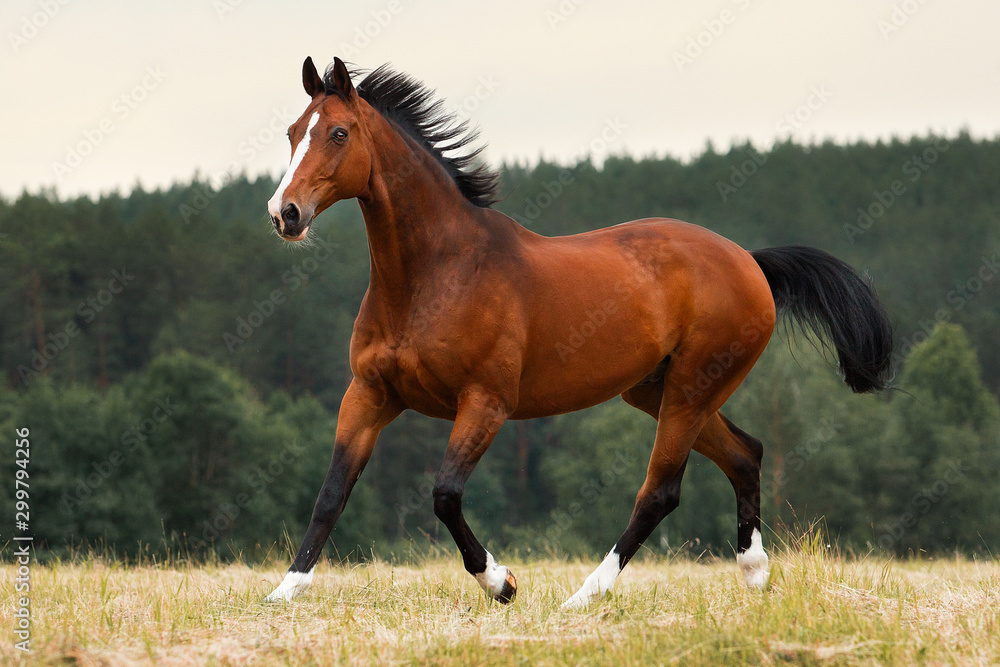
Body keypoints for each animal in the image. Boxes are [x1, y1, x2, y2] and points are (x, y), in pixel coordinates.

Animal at [262, 58, 896, 612]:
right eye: (292, 131)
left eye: (339, 133)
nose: (283, 213)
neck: (434, 276)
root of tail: (751, 263)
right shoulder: (370, 394)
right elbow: (331, 493)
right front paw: (284, 592)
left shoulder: (486, 403)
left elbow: (444, 495)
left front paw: (502, 583)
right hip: (659, 391)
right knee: (746, 455)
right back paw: (755, 575)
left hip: (692, 389)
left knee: (660, 492)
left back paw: (583, 597)